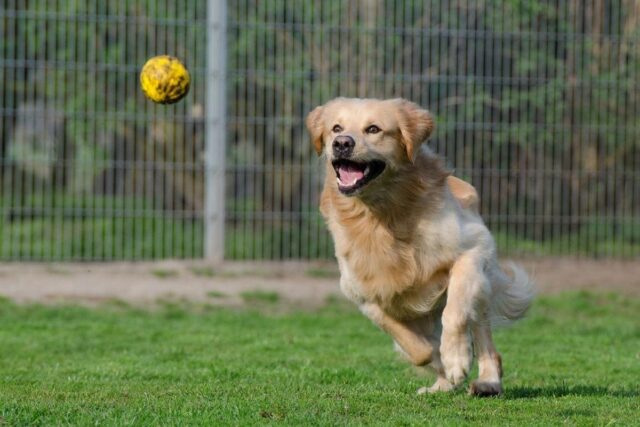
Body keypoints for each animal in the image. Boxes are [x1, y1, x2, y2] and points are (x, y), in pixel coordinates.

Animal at [308, 98, 532, 396]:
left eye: (373, 129)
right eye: (336, 128)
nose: (342, 143)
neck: (381, 215)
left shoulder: (473, 249)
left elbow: (455, 311)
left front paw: (456, 358)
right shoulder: (363, 295)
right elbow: (417, 348)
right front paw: (443, 364)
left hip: (481, 285)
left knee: (484, 337)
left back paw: (487, 381)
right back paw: (441, 385)